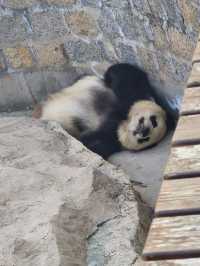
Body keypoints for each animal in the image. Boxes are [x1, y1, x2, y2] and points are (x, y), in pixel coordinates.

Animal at [32, 62, 176, 158]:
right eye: (153, 120)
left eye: (145, 140)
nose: (144, 131)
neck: (123, 124)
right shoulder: (137, 95)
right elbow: (125, 73)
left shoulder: (112, 139)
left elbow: (93, 144)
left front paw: (85, 139)